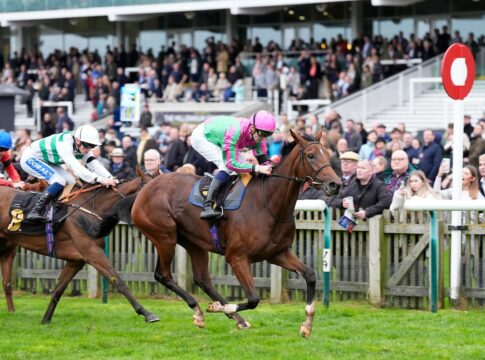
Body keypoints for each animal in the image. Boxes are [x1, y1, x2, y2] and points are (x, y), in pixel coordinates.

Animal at [0, 173, 157, 324]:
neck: (92, 208)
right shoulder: (92, 253)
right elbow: (117, 280)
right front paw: (146, 313)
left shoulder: (76, 260)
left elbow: (58, 290)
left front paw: (45, 319)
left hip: (7, 249)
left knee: (7, 283)